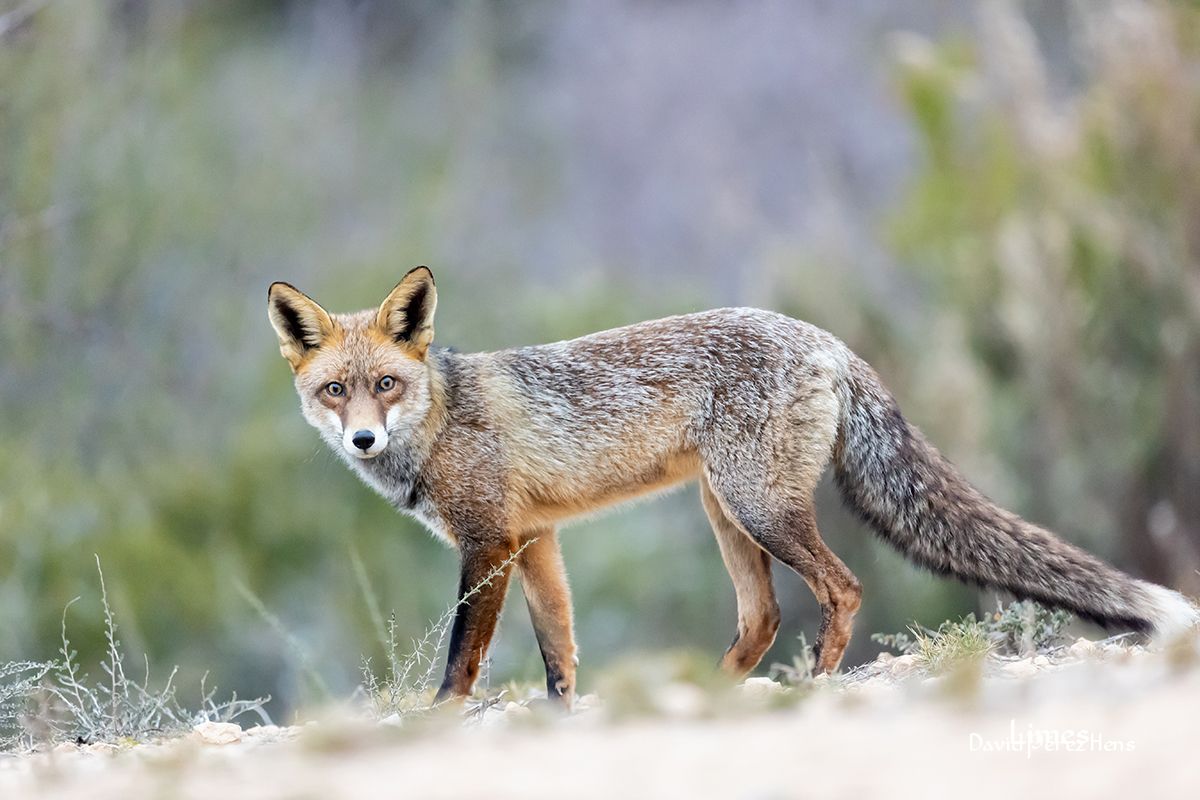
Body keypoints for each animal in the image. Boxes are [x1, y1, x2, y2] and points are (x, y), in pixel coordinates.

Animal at [270, 267, 1200, 705]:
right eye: (335, 390)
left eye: (385, 385)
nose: (362, 437)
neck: (441, 415)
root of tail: (825, 337)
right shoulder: (537, 539)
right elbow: (559, 653)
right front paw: (562, 719)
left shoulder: (490, 542)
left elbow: (464, 656)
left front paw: (438, 717)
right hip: (726, 512)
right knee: (762, 619)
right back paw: (715, 694)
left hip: (759, 509)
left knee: (841, 588)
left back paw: (817, 684)